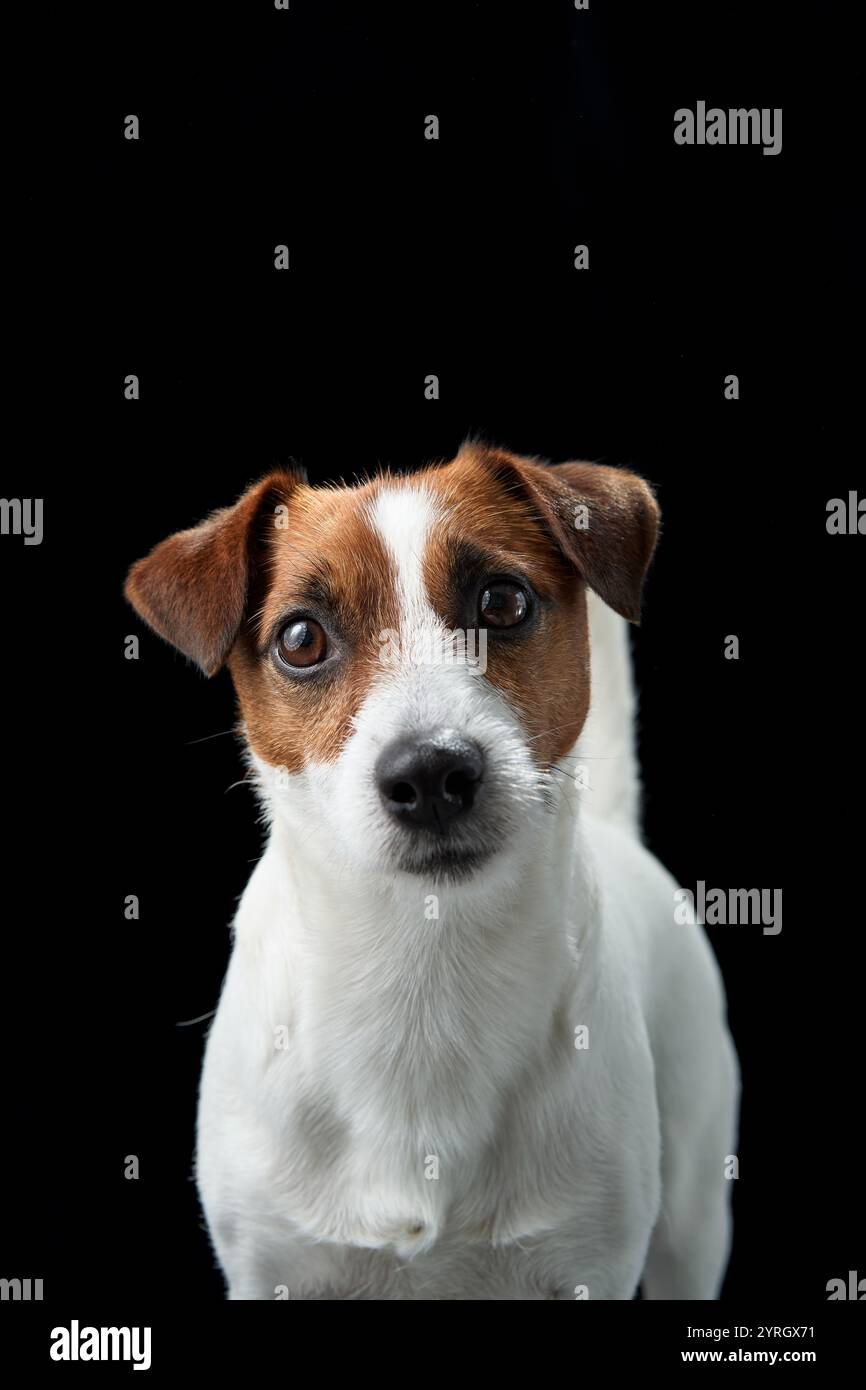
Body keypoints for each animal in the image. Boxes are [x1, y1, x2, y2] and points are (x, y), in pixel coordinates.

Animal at [125, 439, 739, 1295]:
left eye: (504, 602)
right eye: (301, 640)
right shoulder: (271, 1266)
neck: (424, 968)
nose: (430, 775)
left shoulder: (592, 1262)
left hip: (692, 1215)